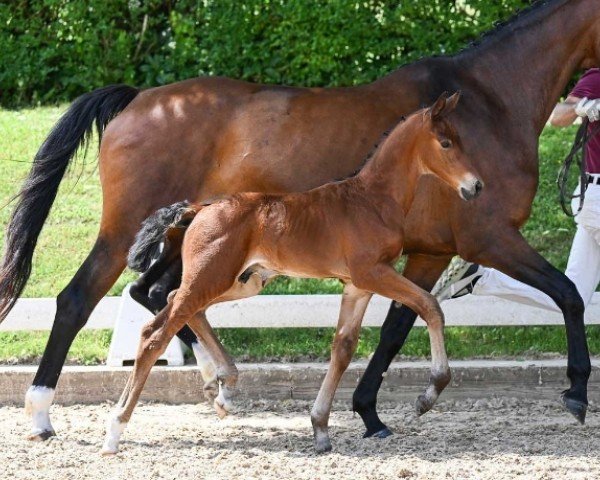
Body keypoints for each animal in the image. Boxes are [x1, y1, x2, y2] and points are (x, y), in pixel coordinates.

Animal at [102, 93, 482, 454]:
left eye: (460, 139)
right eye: (445, 143)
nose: (476, 186)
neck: (372, 200)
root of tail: (200, 208)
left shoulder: (356, 286)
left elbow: (343, 348)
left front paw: (320, 429)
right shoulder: (373, 272)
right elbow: (430, 305)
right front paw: (429, 394)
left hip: (241, 281)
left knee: (174, 305)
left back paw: (226, 385)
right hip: (212, 277)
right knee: (155, 334)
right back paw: (115, 432)